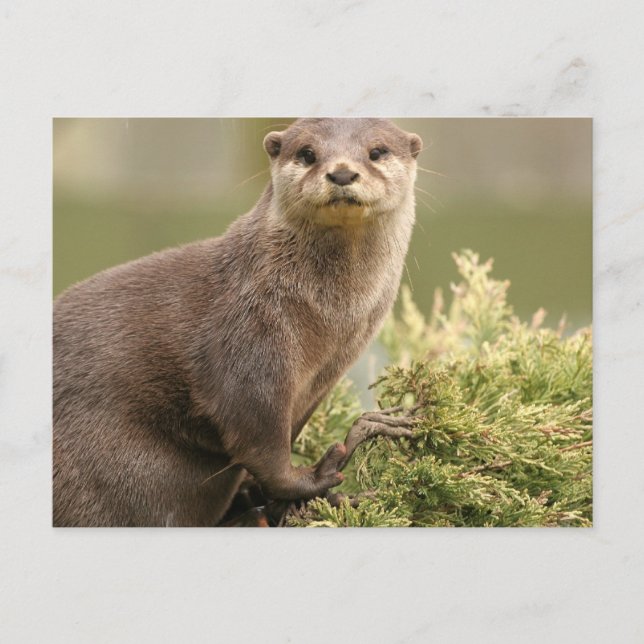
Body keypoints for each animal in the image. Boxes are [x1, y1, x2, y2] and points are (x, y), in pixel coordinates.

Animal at [53, 118, 422, 527]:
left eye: (377, 151)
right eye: (307, 153)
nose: (342, 172)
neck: (328, 317)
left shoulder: (321, 379)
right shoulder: (251, 338)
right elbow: (259, 439)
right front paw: (320, 473)